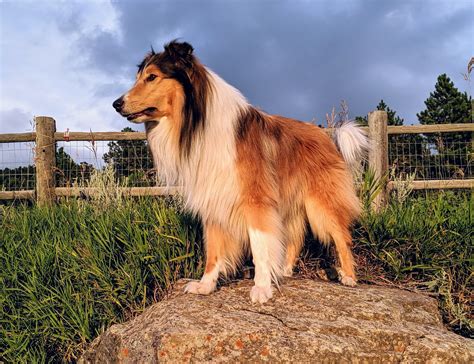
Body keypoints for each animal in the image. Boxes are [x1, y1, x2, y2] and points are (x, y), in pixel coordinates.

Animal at [113, 41, 368, 304]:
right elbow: (213, 250)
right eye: (139, 77)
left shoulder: (255, 200)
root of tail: (326, 135)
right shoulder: (213, 199)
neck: (199, 123)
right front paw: (205, 285)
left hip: (320, 203)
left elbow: (259, 246)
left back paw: (348, 277)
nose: (116, 104)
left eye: (152, 77)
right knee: (295, 238)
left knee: (341, 236)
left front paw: (262, 287)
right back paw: (285, 271)